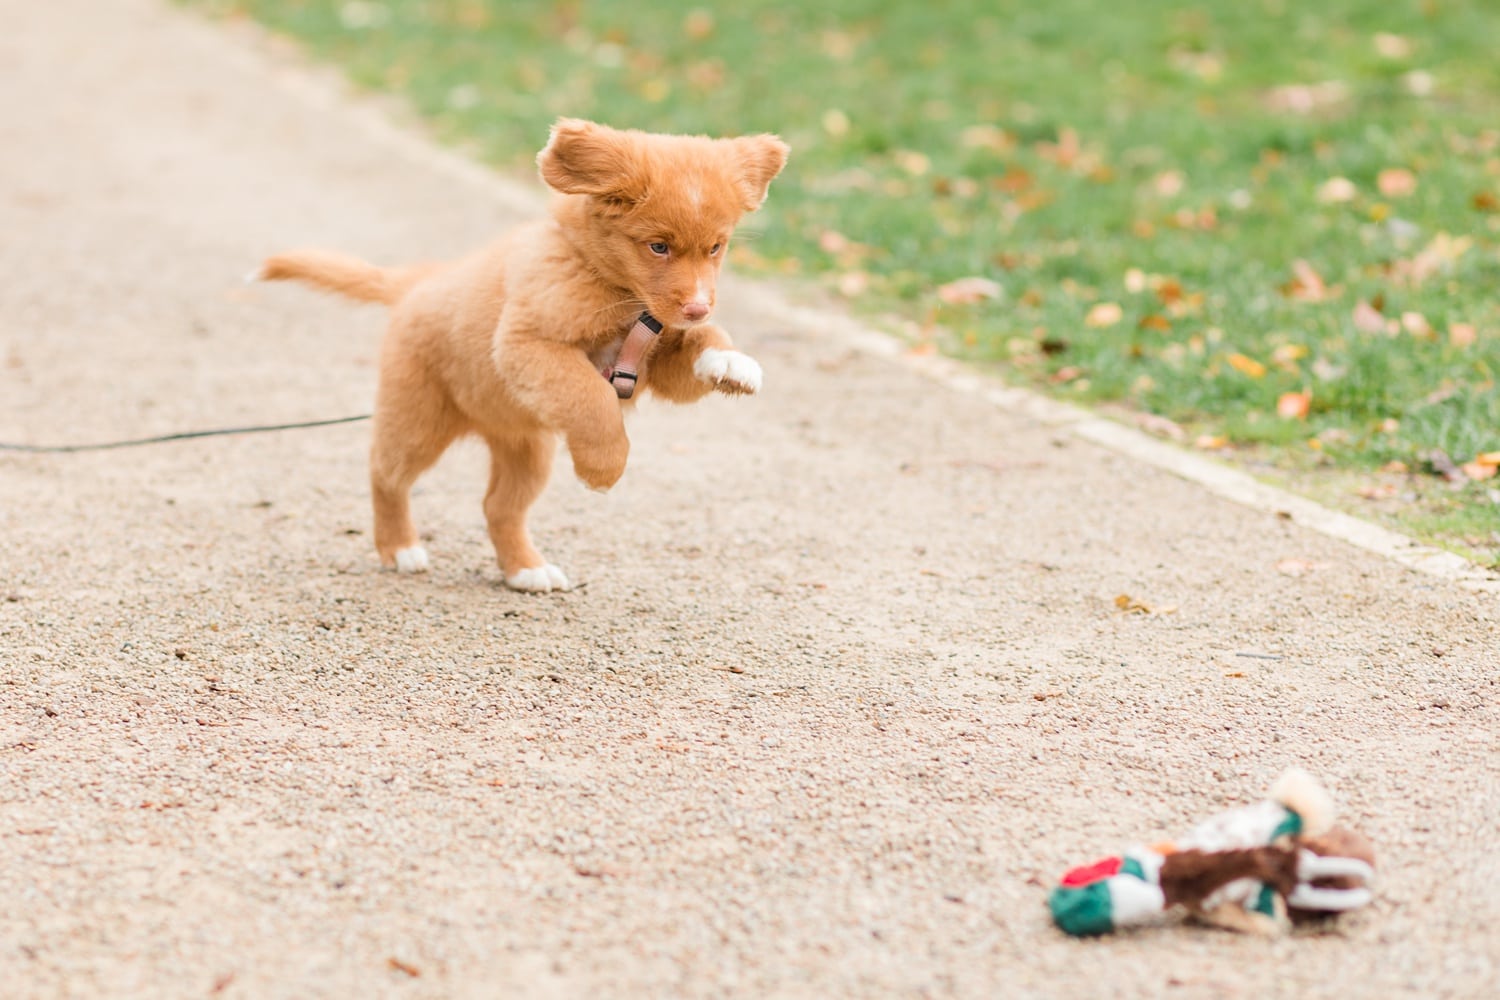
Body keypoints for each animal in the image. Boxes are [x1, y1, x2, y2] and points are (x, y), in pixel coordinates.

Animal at [259, 118, 792, 590]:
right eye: (658, 247)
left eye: (716, 248)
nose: (698, 307)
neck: (617, 291)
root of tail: (422, 282)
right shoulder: (527, 343)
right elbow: (593, 401)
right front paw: (605, 468)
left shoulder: (654, 358)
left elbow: (697, 347)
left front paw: (730, 362)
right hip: (418, 420)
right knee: (384, 473)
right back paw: (399, 547)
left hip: (527, 446)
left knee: (498, 507)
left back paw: (525, 570)